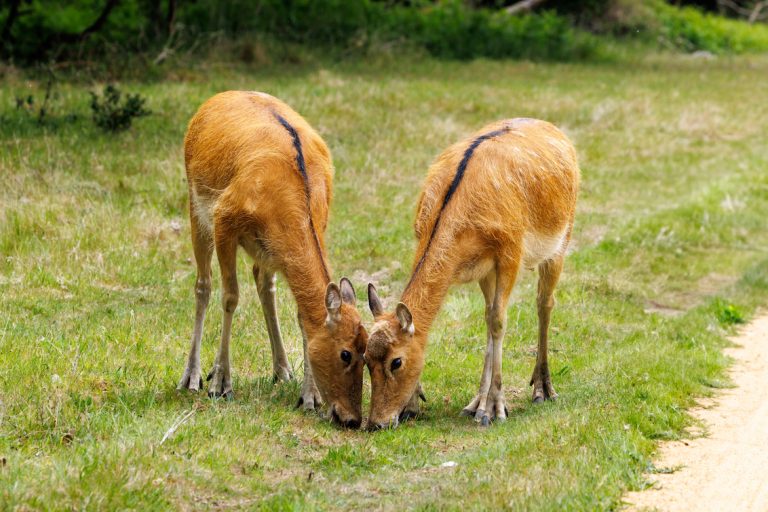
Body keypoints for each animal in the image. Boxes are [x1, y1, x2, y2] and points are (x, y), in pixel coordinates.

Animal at [177, 91, 367, 429]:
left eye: (367, 351)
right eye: (345, 353)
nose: (351, 419)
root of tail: (214, 99)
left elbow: (301, 315)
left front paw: (309, 397)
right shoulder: (224, 218)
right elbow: (230, 297)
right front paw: (220, 383)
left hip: (265, 250)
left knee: (264, 282)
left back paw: (282, 370)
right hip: (195, 204)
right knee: (203, 285)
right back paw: (193, 377)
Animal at [365, 118, 579, 429]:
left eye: (397, 361)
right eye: (365, 357)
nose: (376, 423)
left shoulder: (511, 253)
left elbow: (500, 321)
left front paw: (496, 410)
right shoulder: (482, 264)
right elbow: (489, 319)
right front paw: (468, 406)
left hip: (563, 237)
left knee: (544, 303)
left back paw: (543, 390)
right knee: (491, 313)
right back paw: (477, 404)